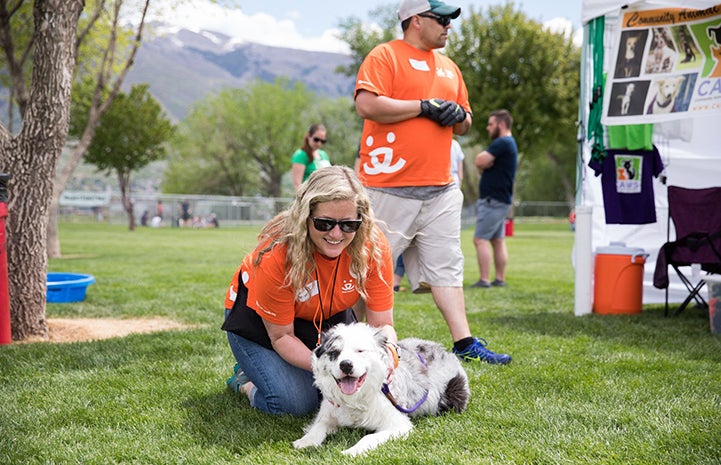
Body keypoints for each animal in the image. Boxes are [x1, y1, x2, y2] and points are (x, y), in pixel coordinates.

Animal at [294, 320, 472, 454]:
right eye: (334, 352)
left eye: (360, 351)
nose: (346, 365)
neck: (355, 399)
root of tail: (443, 350)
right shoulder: (328, 413)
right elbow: (318, 427)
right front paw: (305, 441)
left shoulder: (399, 424)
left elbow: (369, 437)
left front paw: (351, 451)